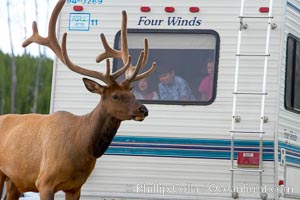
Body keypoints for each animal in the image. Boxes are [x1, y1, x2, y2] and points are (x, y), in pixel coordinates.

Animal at [0, 0, 155, 199]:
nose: (143, 109)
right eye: (115, 96)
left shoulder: (76, 187)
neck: (80, 146)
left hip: (15, 182)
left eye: (133, 94)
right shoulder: (44, 182)